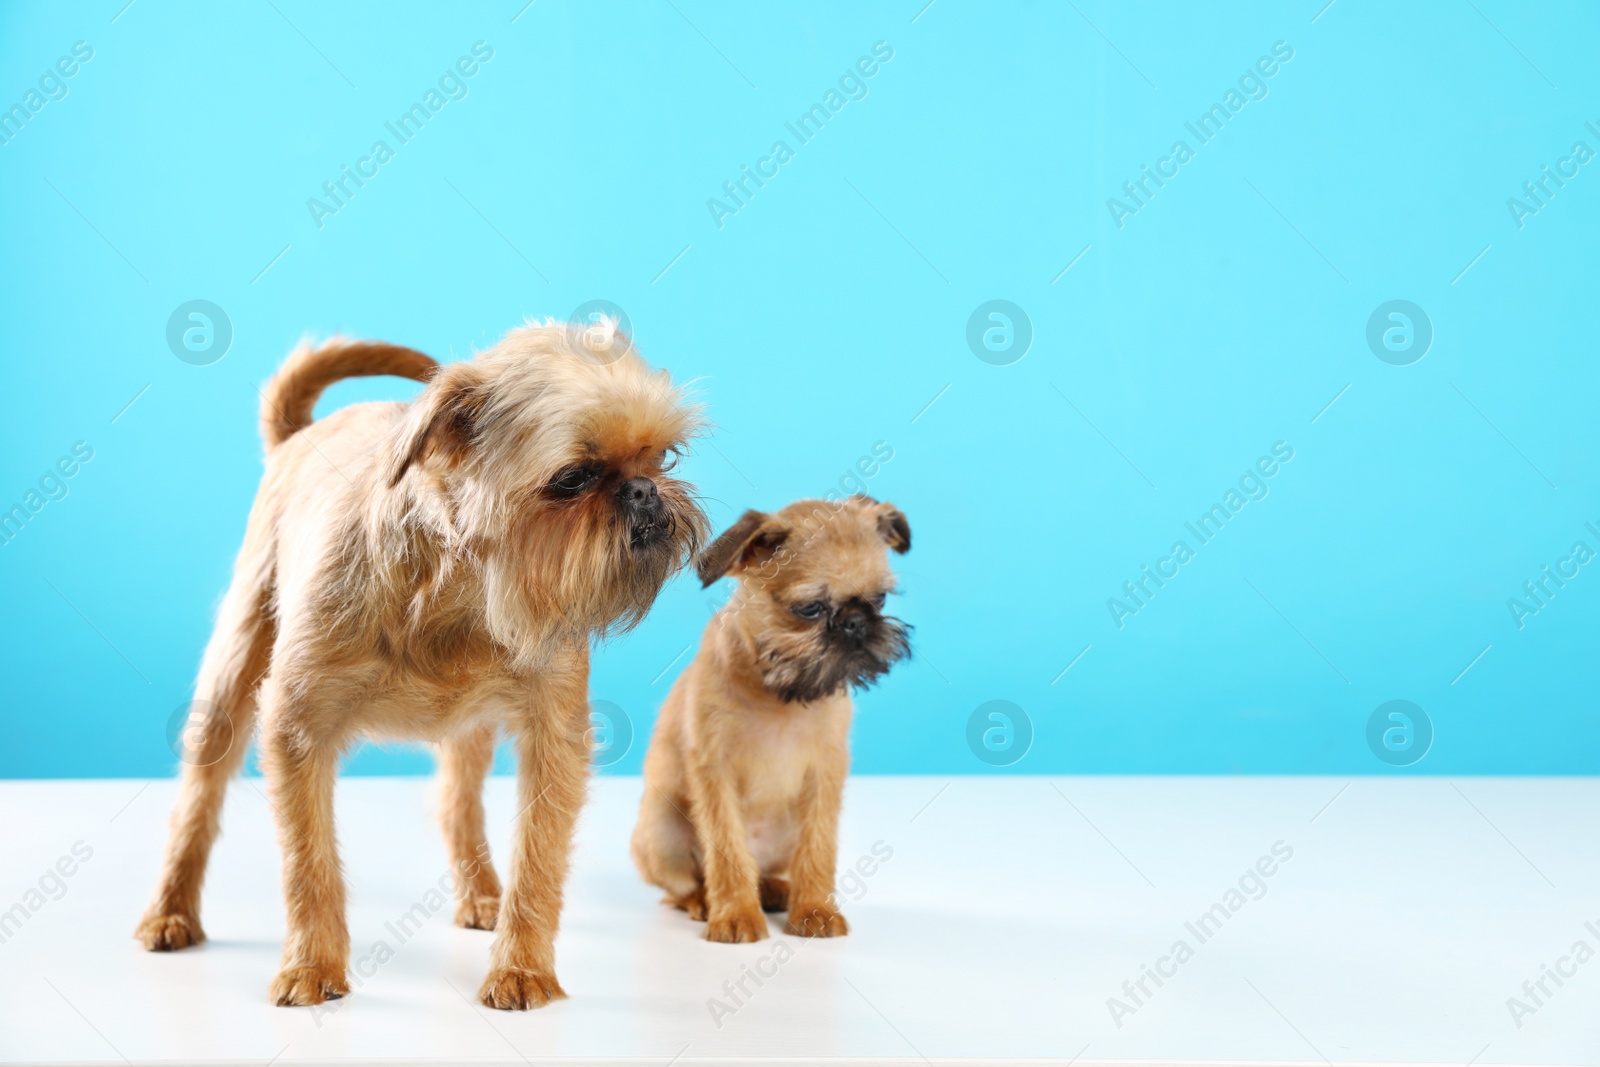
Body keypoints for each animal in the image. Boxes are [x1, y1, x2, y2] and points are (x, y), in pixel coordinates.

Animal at [134, 319, 710, 1011]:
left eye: (665, 459)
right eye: (572, 479)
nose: (644, 490)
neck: (460, 587)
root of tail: (297, 437)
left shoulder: (555, 736)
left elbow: (539, 858)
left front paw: (523, 969)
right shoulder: (297, 728)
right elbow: (307, 861)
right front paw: (312, 965)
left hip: (470, 727)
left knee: (457, 800)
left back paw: (482, 895)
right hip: (235, 661)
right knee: (199, 796)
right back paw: (170, 911)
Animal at [633, 495, 915, 940]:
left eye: (880, 600)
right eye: (810, 608)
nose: (856, 623)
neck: (778, 693)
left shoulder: (826, 771)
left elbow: (819, 846)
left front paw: (815, 908)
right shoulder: (714, 770)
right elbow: (727, 849)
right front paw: (734, 914)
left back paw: (774, 889)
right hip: (661, 831)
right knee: (680, 887)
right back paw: (704, 901)